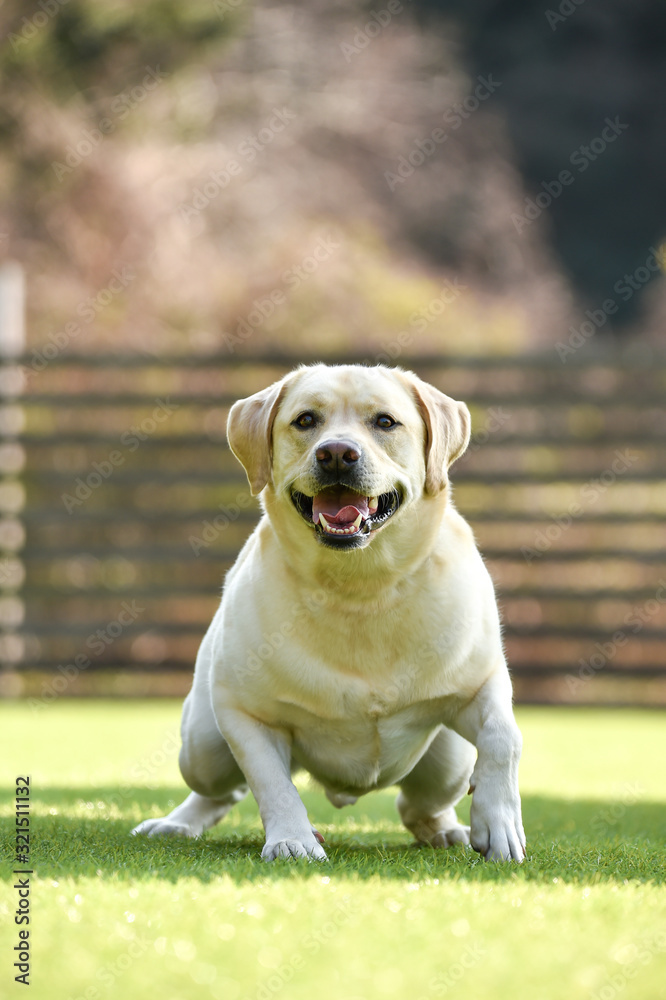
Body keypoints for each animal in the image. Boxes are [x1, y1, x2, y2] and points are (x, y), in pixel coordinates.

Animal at [130, 364, 524, 864]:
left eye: (385, 422)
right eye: (305, 420)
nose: (337, 453)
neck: (360, 587)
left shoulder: (483, 683)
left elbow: (503, 737)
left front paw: (500, 824)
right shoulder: (247, 715)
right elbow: (272, 784)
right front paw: (292, 839)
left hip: (447, 764)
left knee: (420, 804)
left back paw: (447, 830)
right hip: (201, 747)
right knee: (220, 789)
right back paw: (176, 823)